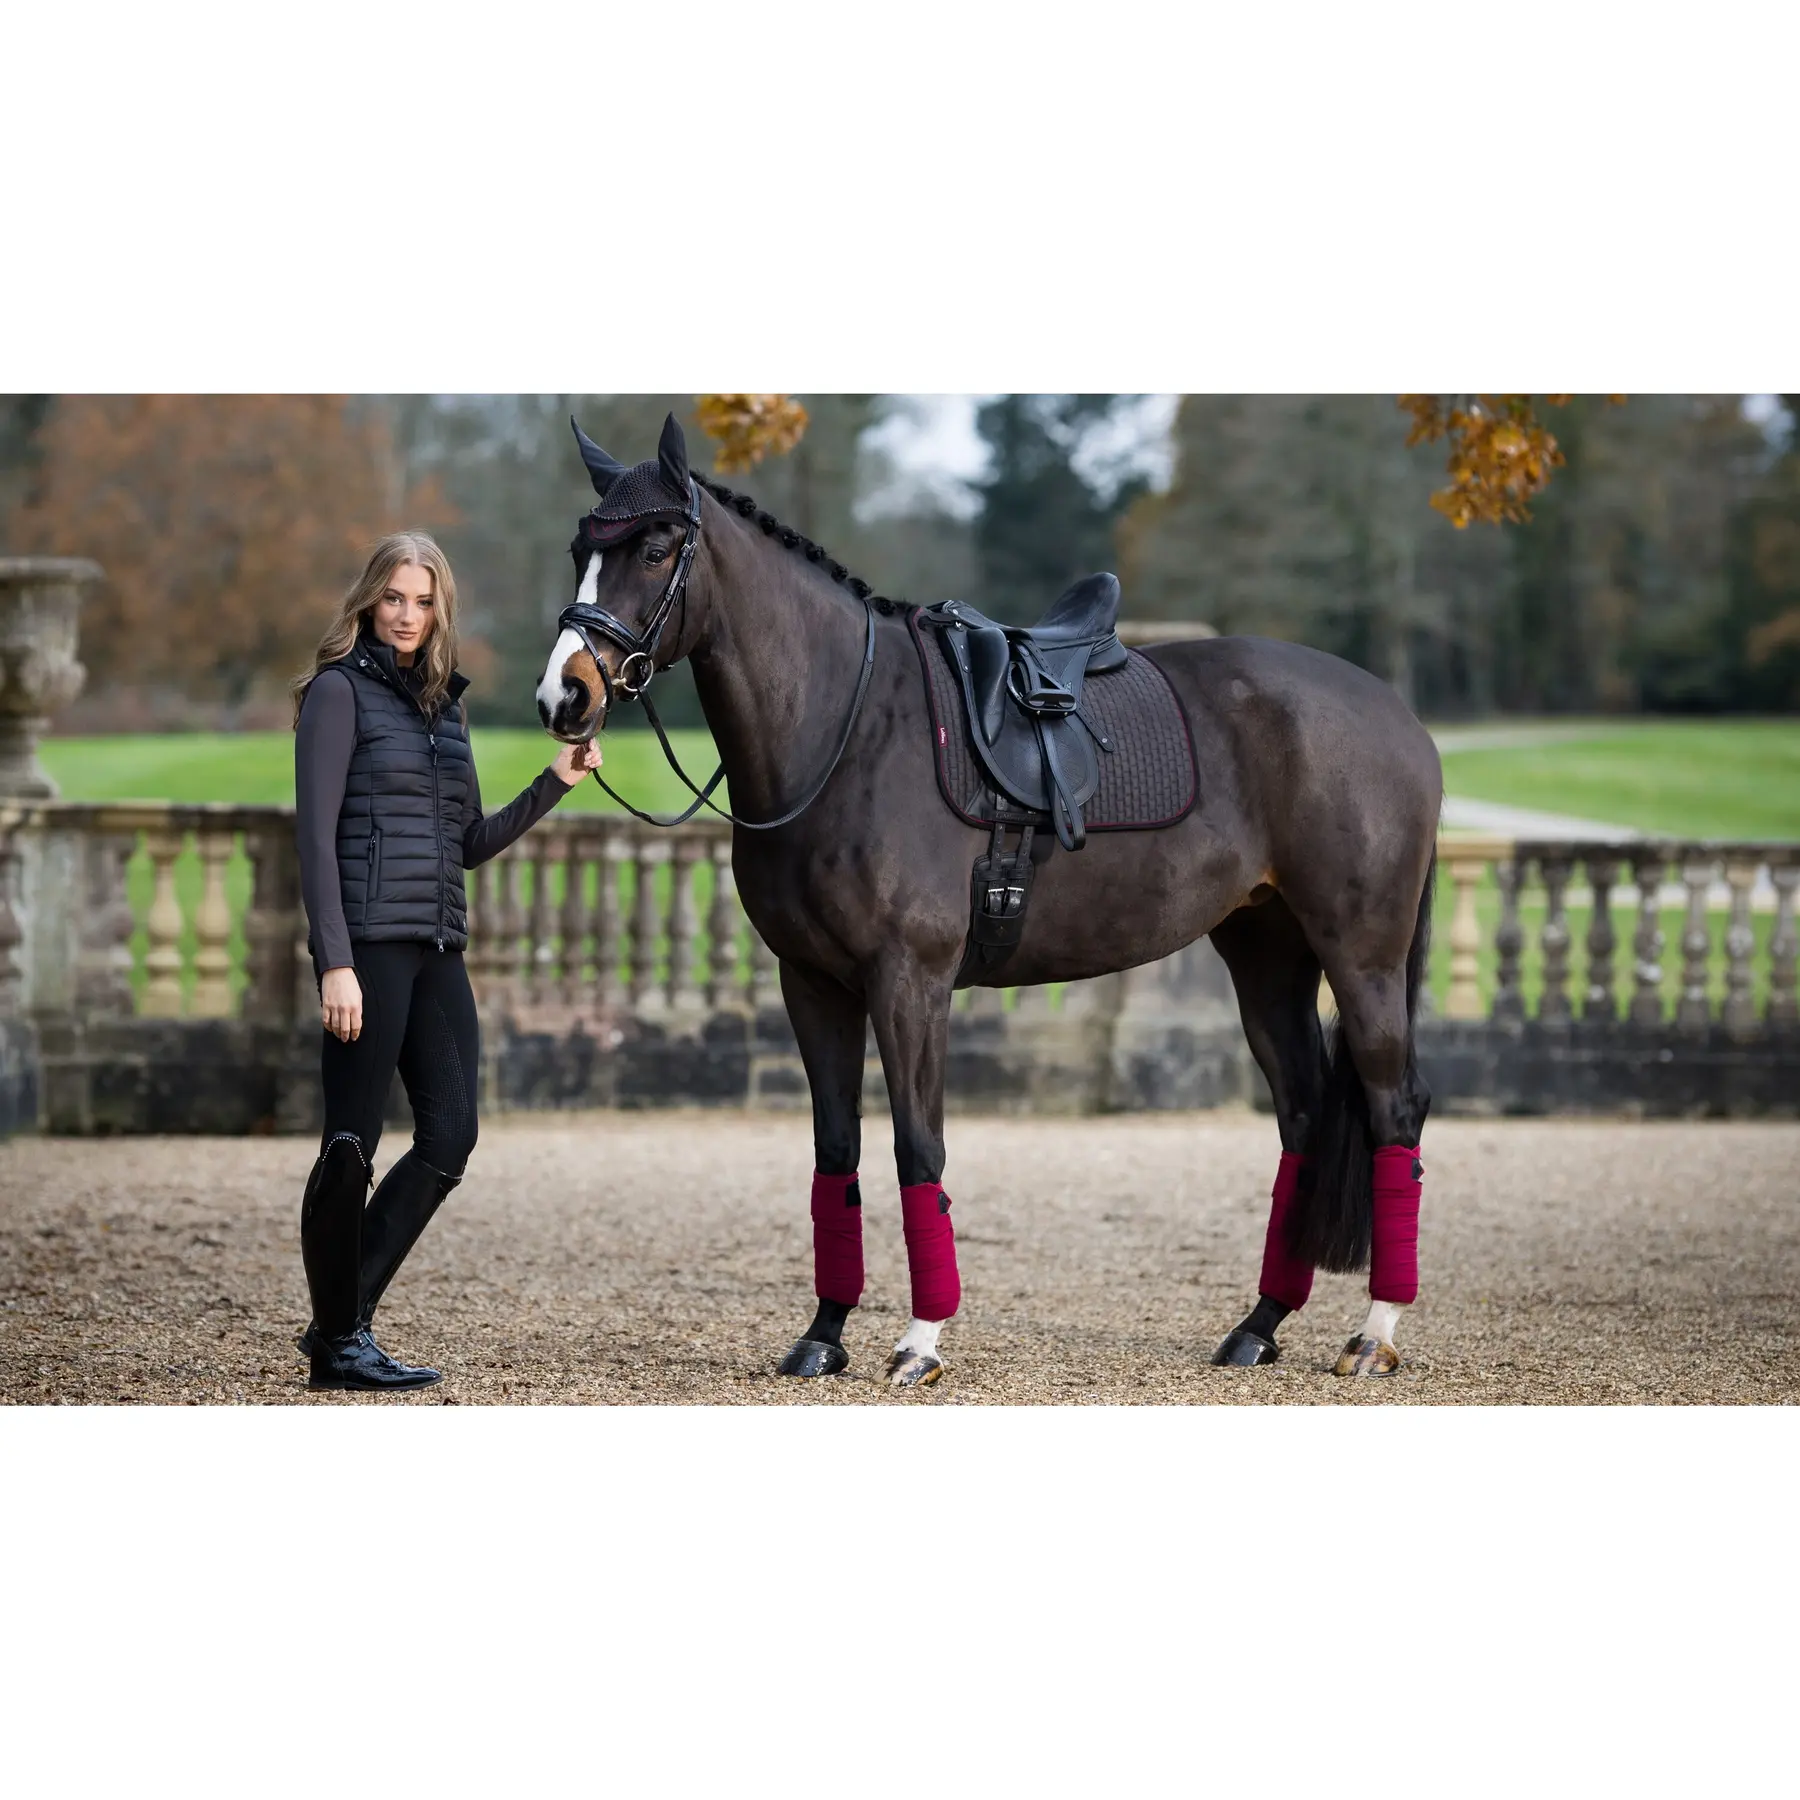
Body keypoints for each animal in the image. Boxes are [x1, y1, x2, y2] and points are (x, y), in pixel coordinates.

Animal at [538, 413, 1442, 1387]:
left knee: (1393, 1109)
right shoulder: (811, 984)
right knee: (1305, 1114)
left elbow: (917, 1146)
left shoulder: (910, 981)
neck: (847, 730)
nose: (565, 695)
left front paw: (920, 1341)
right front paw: (824, 1334)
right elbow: (837, 1151)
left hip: (1361, 954)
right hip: (1268, 954)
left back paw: (1374, 1333)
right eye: (580, 550)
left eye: (655, 547)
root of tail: (1399, 716)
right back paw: (1261, 1324)